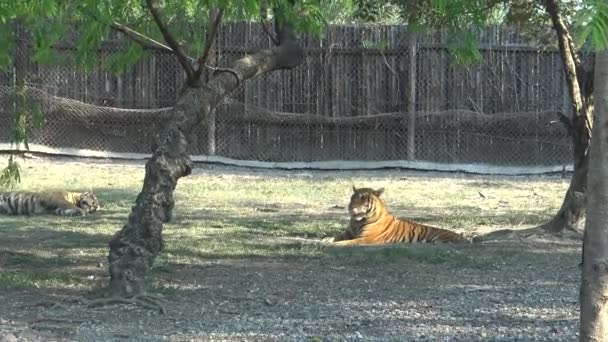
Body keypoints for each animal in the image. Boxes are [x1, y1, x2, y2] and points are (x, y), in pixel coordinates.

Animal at [324, 184, 470, 246]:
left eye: (363, 198)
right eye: (352, 198)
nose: (351, 208)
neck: (357, 222)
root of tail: (463, 236)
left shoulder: (365, 239)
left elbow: (345, 243)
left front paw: (329, 245)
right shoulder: (347, 233)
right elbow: (335, 237)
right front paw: (324, 240)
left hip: (438, 238)